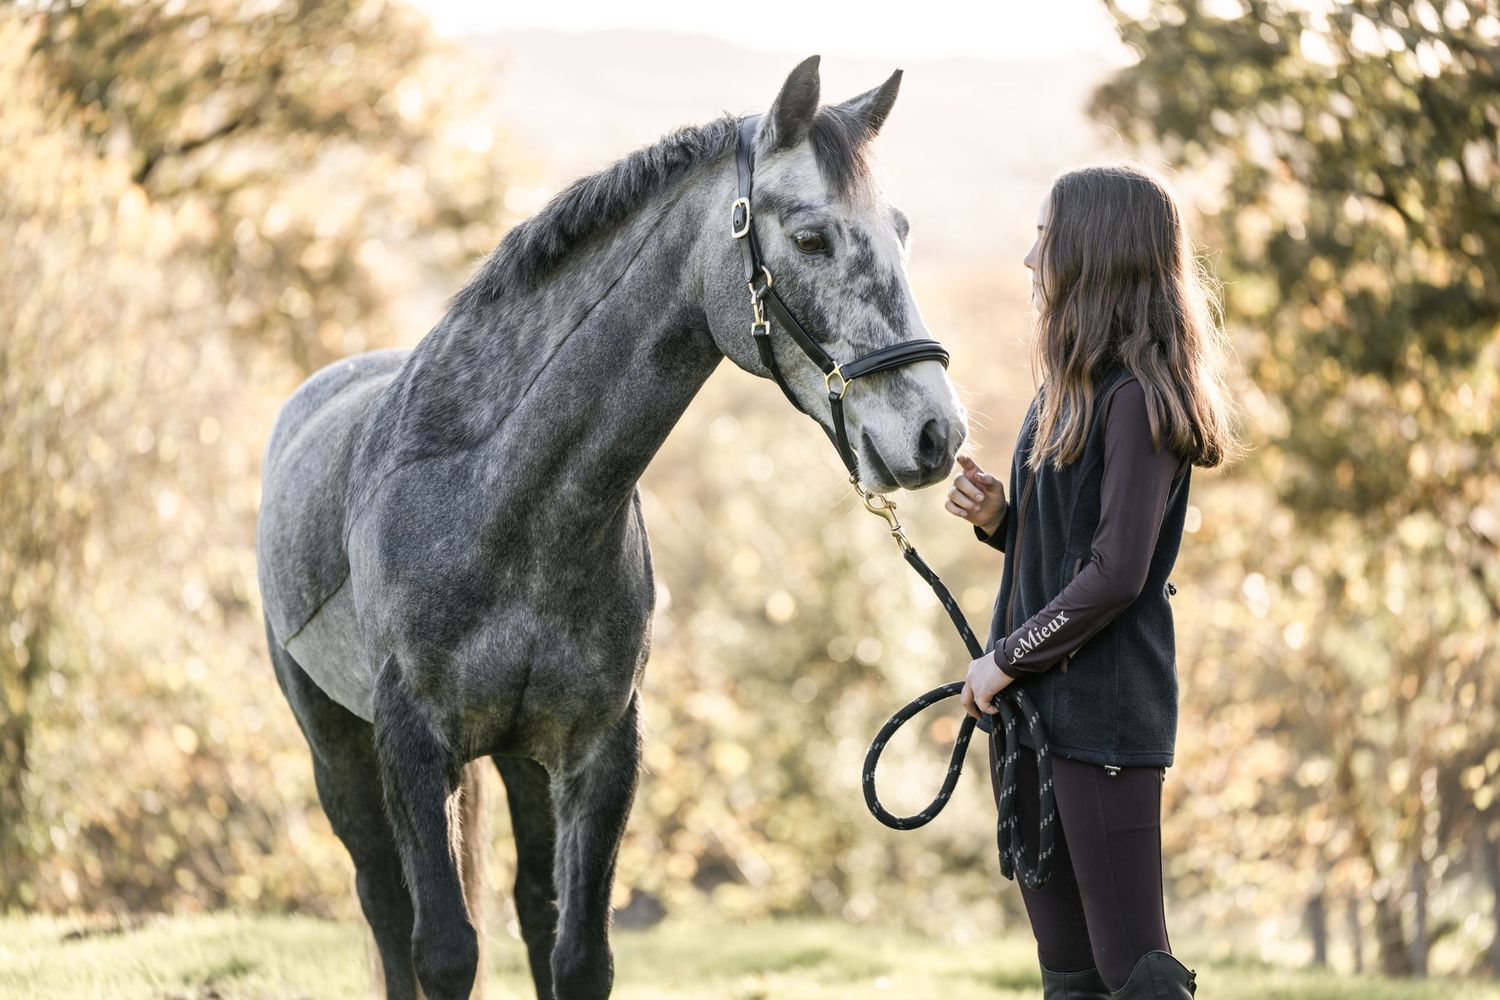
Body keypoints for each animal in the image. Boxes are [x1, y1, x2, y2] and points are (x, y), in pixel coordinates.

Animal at [255, 55, 967, 1000]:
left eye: (902, 229)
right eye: (813, 239)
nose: (936, 434)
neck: (501, 505)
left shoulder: (597, 753)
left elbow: (579, 953)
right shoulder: (410, 744)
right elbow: (440, 947)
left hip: (517, 760)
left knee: (530, 905)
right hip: (336, 747)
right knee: (381, 900)